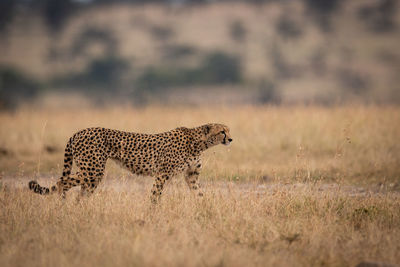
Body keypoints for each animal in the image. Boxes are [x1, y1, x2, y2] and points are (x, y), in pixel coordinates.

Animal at [28, 124, 233, 203]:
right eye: (222, 131)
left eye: (228, 130)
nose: (231, 139)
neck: (199, 143)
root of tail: (78, 132)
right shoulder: (162, 174)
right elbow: (155, 194)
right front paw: (153, 213)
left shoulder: (191, 176)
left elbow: (199, 194)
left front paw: (205, 208)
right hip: (93, 171)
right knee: (62, 182)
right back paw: (63, 206)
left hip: (90, 174)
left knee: (80, 193)